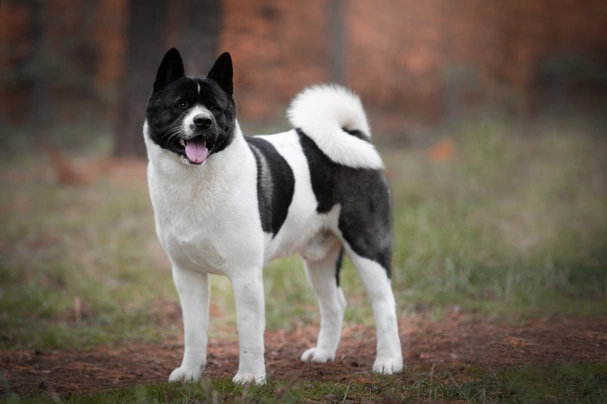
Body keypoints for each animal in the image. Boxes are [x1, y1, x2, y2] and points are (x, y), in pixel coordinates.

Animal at [144, 49, 404, 384]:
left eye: (214, 107)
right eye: (181, 105)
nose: (203, 121)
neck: (195, 182)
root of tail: (354, 135)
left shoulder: (245, 275)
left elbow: (249, 330)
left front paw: (251, 378)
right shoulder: (187, 274)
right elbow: (194, 329)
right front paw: (190, 372)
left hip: (367, 248)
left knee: (384, 304)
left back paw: (389, 361)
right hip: (319, 260)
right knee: (334, 303)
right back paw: (323, 354)